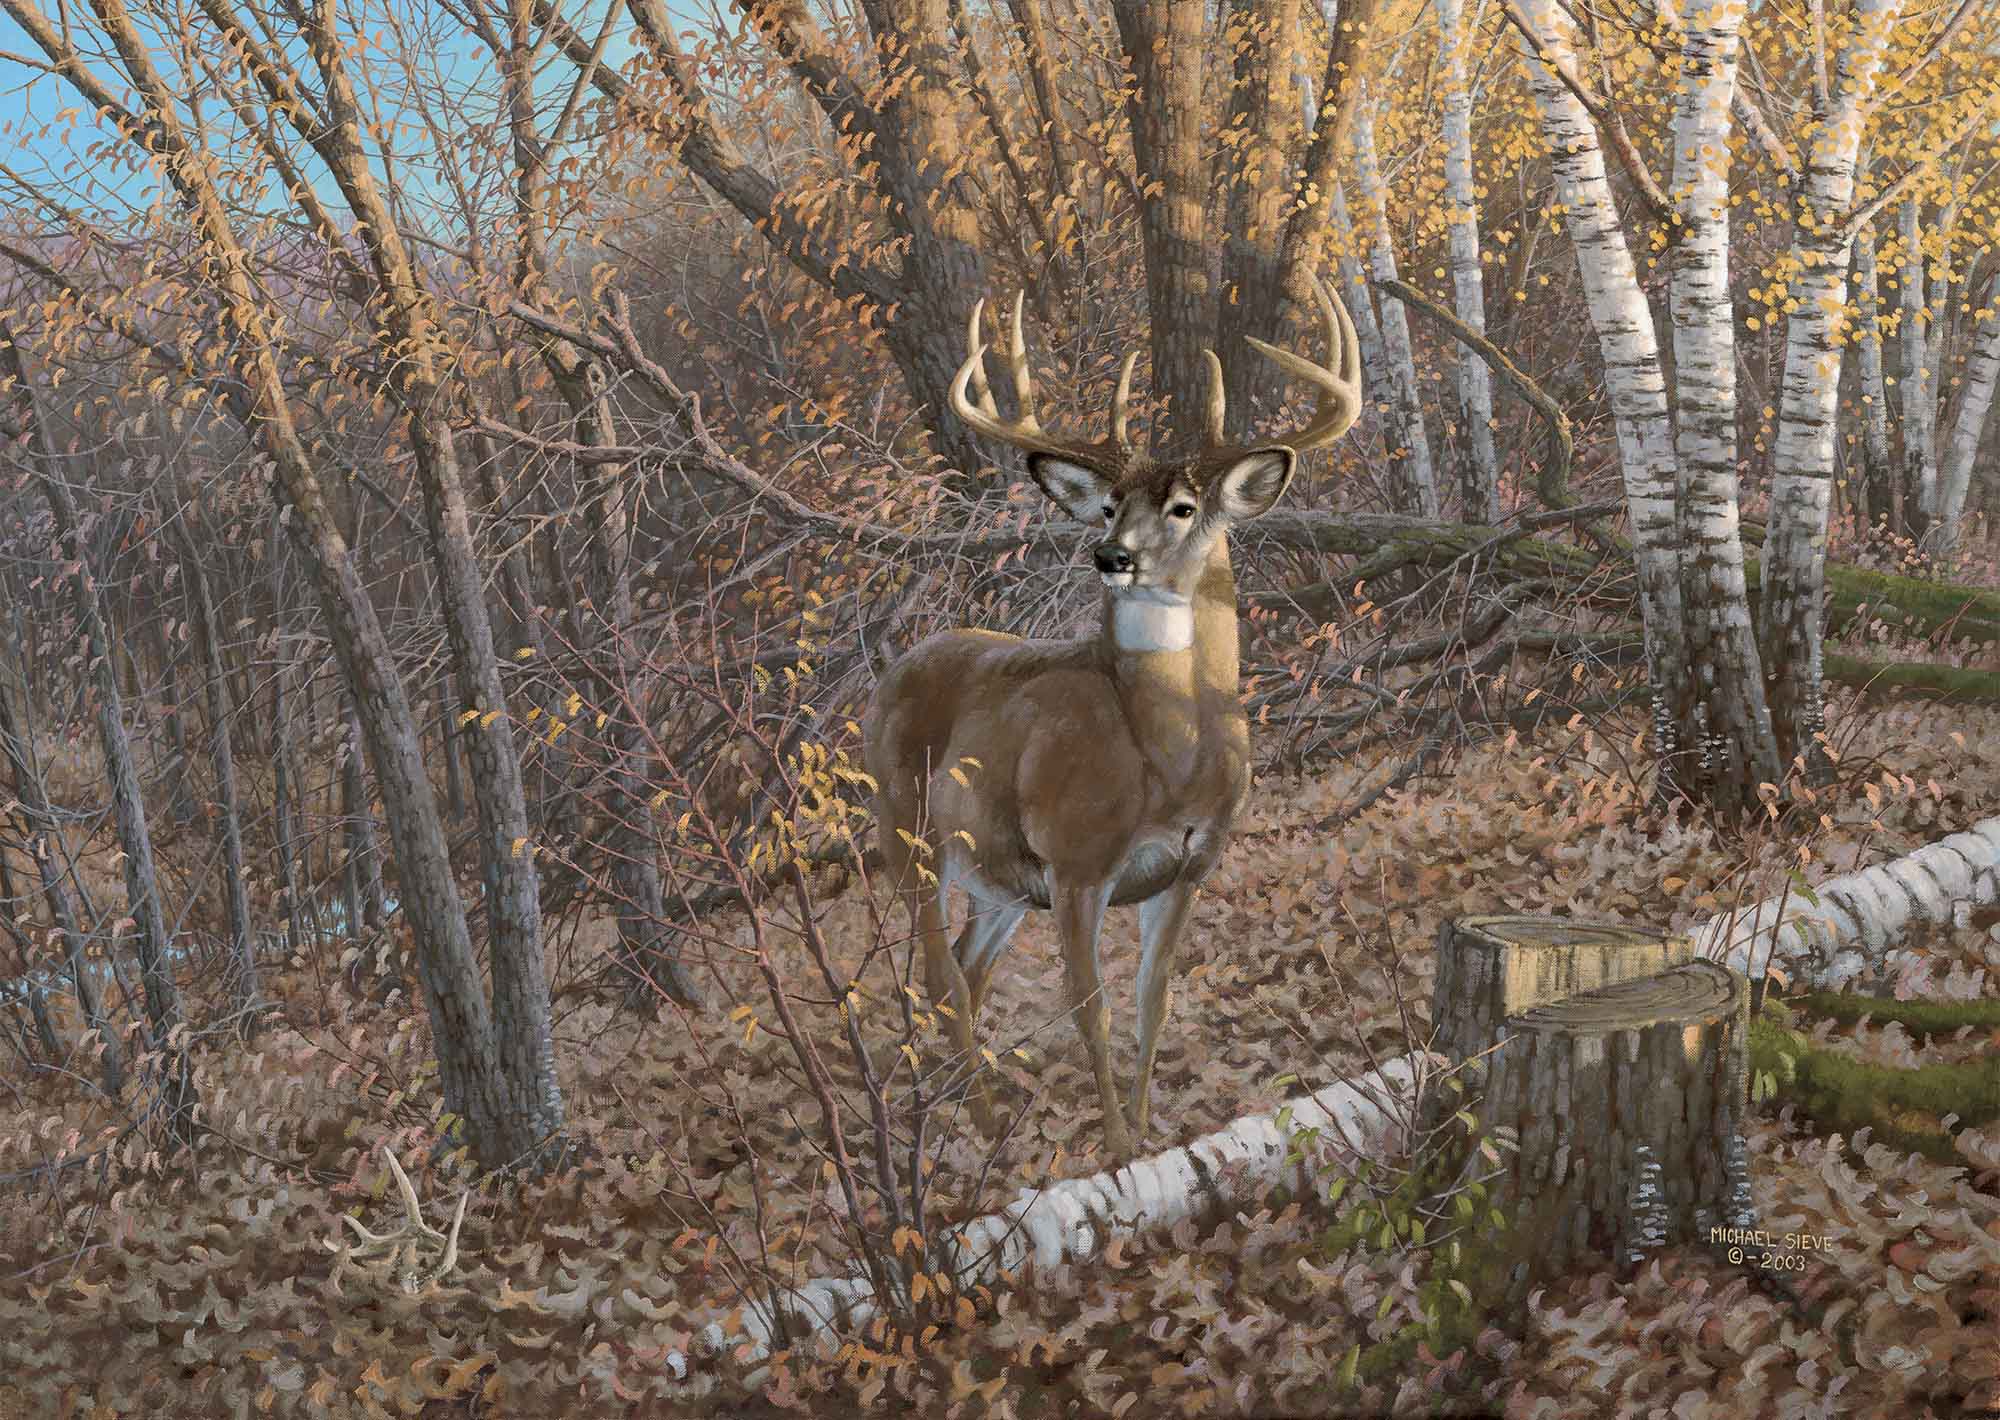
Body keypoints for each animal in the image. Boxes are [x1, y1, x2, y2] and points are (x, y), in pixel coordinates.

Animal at [863, 275, 1363, 1157]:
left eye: (1186, 507)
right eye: (1107, 507)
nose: (1113, 557)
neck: (1165, 762)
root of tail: (888, 677)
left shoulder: (1191, 865)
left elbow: (1150, 1001)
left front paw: (1150, 1132)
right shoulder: (1075, 863)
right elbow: (1087, 1009)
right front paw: (1122, 1150)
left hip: (997, 884)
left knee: (966, 969)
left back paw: (962, 1116)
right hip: (908, 835)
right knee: (938, 977)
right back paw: (982, 1131)